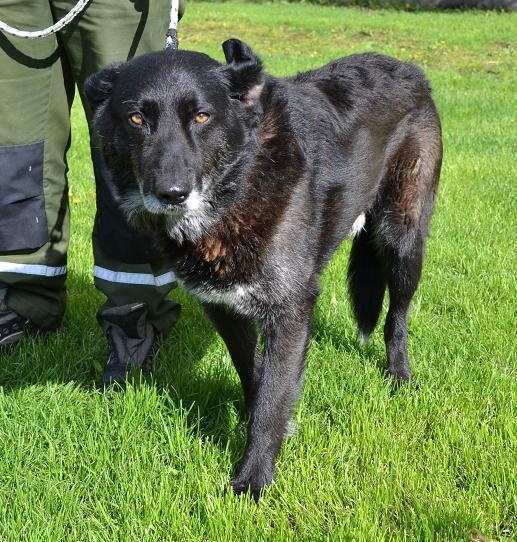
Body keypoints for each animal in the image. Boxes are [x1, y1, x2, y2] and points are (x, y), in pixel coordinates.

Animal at [85, 38, 442, 500]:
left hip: (402, 239)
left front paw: (253, 479)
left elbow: (273, 397)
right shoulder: (221, 306)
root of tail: (410, 70)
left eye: (202, 116)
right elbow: (253, 375)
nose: (172, 194)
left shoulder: (289, 310)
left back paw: (399, 376)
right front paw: (254, 425)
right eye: (136, 118)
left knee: (397, 316)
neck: (239, 186)